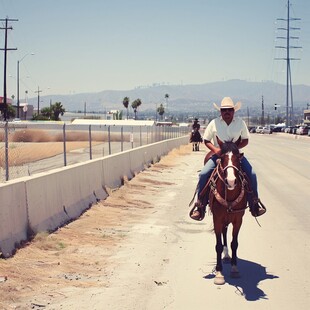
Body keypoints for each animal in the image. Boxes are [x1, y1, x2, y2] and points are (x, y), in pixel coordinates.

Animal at [207, 139, 248, 286]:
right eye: (222, 158)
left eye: (237, 158)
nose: (231, 181)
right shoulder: (217, 219)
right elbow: (218, 245)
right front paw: (219, 273)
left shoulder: (238, 219)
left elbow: (234, 243)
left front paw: (234, 268)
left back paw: (227, 256)